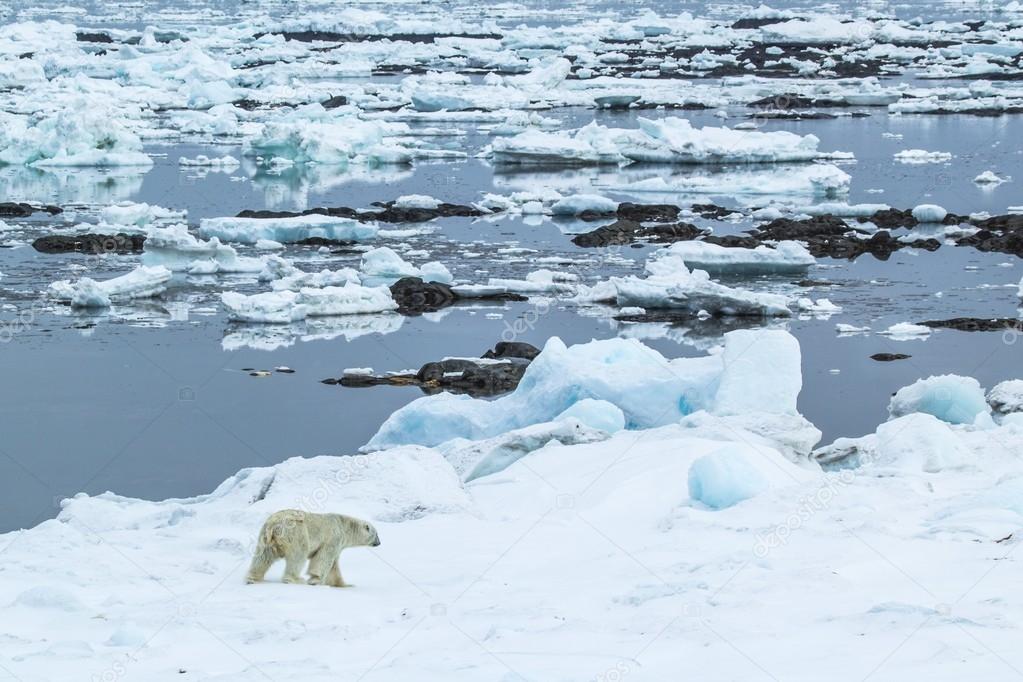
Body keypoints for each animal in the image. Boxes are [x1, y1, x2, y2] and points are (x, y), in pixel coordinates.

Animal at [245, 511, 382, 588]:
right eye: (376, 534)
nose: (379, 543)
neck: (343, 525)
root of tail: (273, 524)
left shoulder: (338, 545)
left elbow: (334, 567)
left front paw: (345, 585)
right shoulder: (333, 539)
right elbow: (323, 559)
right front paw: (315, 580)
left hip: (266, 539)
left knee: (263, 557)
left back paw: (252, 579)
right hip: (296, 532)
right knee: (299, 554)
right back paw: (296, 579)